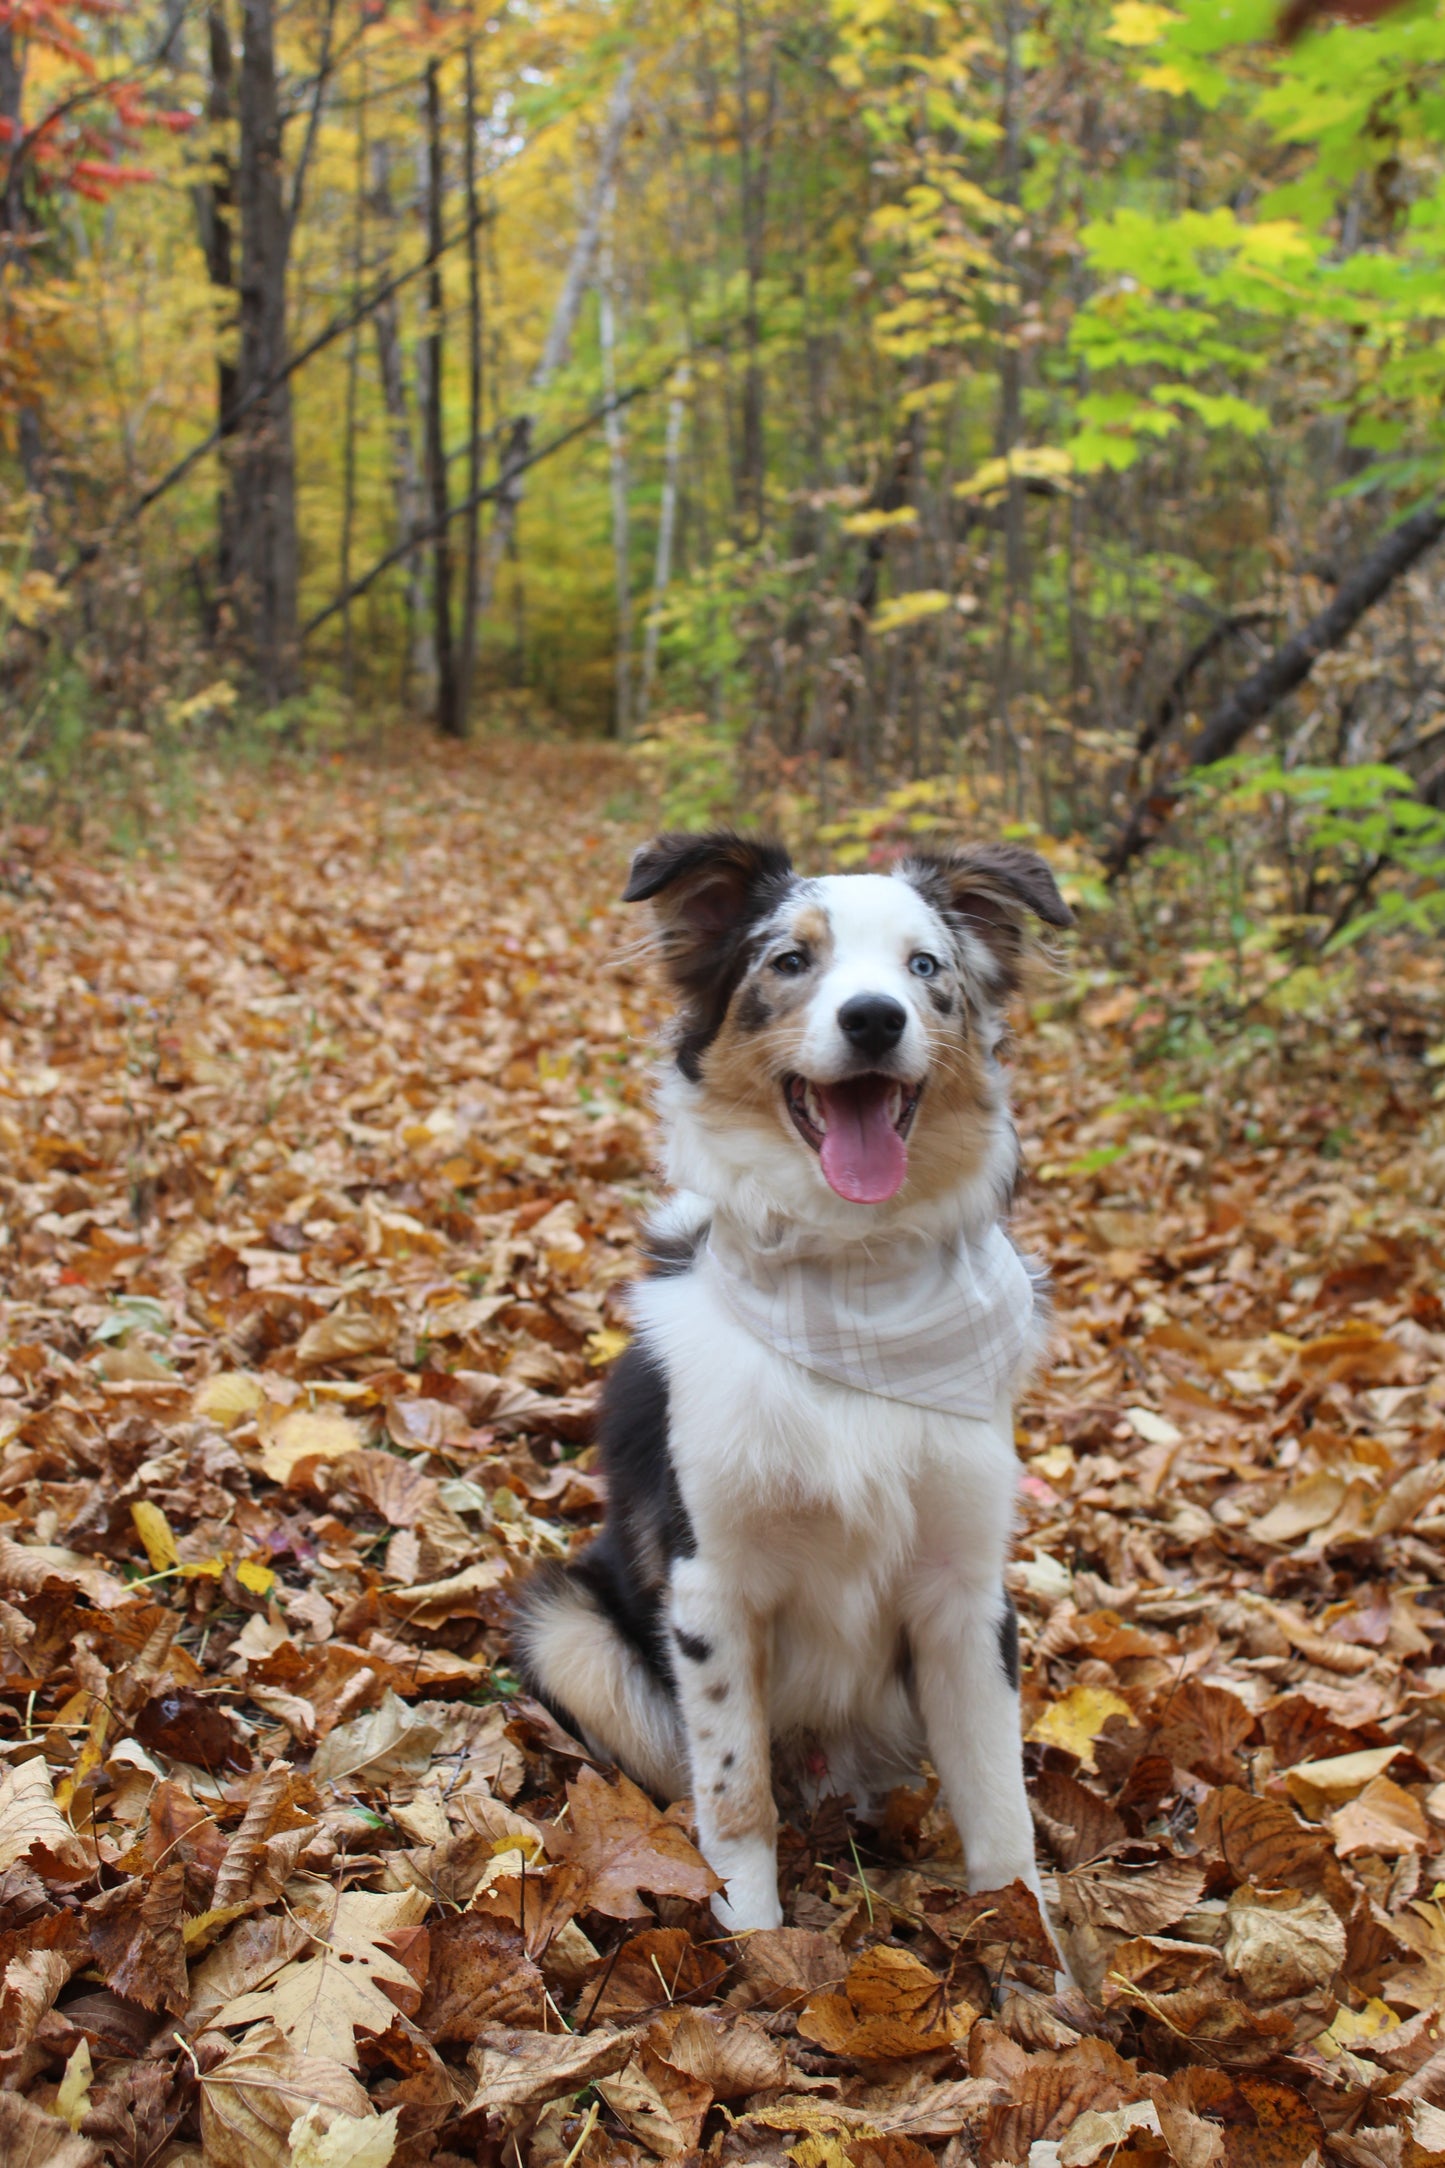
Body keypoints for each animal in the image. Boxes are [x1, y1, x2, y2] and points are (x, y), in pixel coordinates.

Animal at [517, 828, 1074, 1933]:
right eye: (789, 959)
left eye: (924, 967)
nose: (872, 1018)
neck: (849, 1271)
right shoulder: (711, 1583)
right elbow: (735, 1793)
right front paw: (754, 1939)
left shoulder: (964, 1592)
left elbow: (1001, 1811)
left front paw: (1030, 1953)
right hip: (567, 1628)